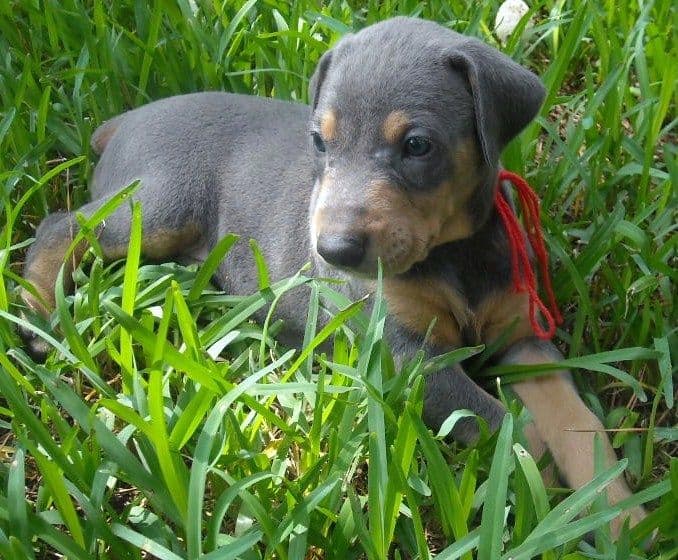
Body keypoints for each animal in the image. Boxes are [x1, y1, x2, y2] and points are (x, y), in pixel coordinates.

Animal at [21, 16, 648, 532]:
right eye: (319, 142)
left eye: (417, 145)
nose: (333, 252)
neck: (453, 255)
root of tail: (125, 120)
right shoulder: (402, 355)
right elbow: (517, 431)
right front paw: (563, 510)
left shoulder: (523, 338)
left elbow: (579, 427)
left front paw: (621, 518)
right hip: (158, 206)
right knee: (61, 225)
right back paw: (37, 315)